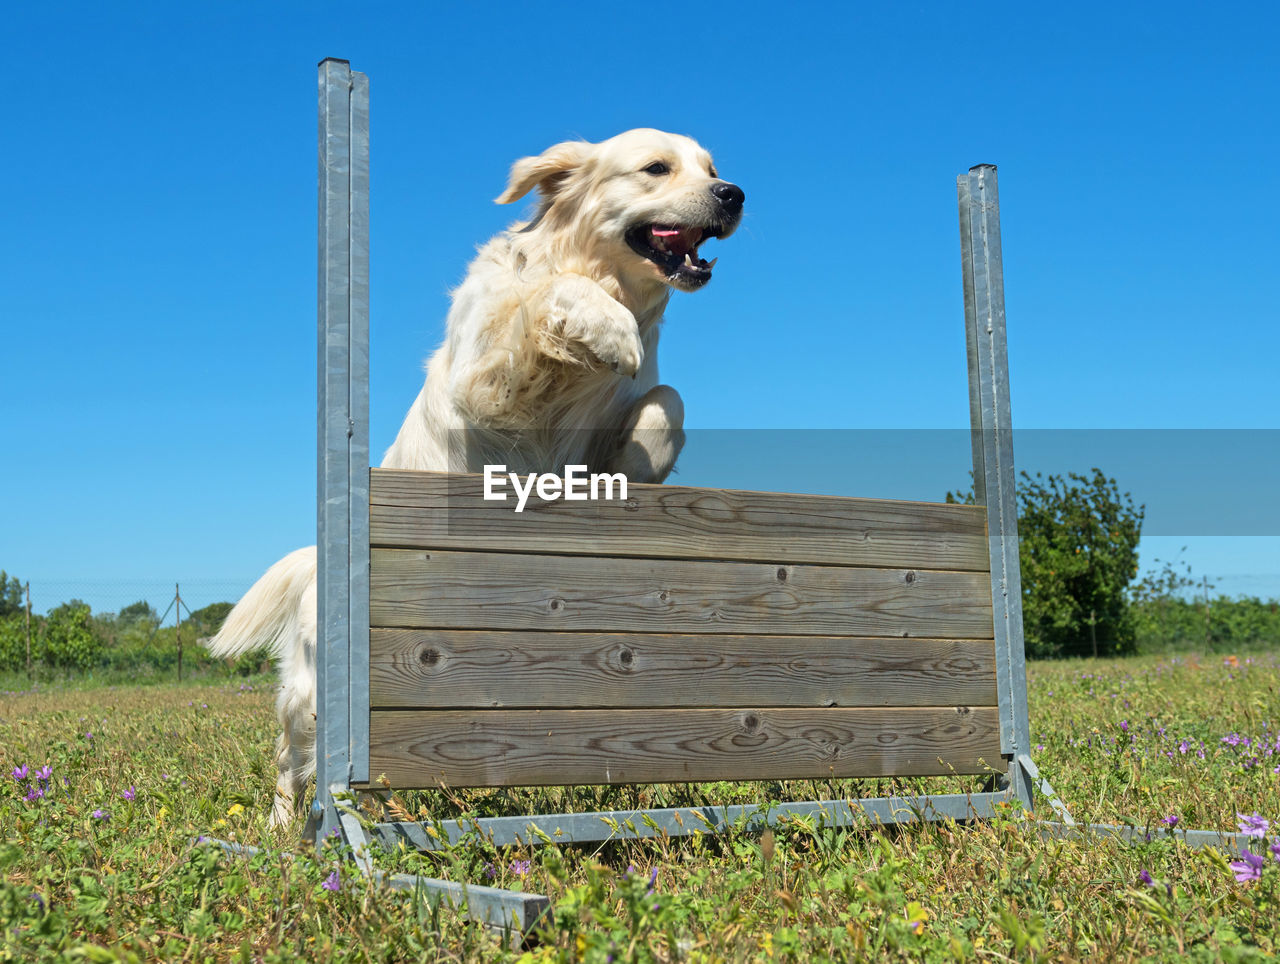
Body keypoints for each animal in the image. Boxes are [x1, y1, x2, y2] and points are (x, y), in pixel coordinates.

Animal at [206, 126, 747, 819]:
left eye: (712, 167)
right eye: (657, 168)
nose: (733, 194)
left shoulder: (618, 410)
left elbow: (665, 401)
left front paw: (633, 467)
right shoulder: (487, 384)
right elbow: (549, 299)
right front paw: (606, 324)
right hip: (312, 694)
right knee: (291, 760)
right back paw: (281, 827)